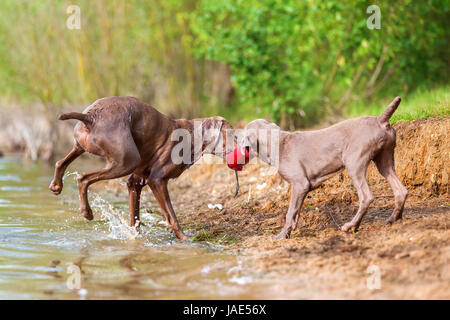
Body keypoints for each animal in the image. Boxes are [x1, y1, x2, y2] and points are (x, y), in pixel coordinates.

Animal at [49, 96, 236, 241]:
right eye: (233, 134)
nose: (243, 149)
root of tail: (90, 117)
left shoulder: (136, 181)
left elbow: (135, 217)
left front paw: (134, 235)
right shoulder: (157, 179)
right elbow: (171, 214)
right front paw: (184, 237)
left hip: (81, 145)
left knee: (60, 163)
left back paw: (56, 185)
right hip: (126, 162)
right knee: (83, 178)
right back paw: (87, 212)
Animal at [243, 96, 408, 239]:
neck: (279, 143)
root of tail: (379, 119)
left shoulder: (299, 183)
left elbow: (290, 212)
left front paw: (281, 235)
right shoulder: (302, 188)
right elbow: (296, 211)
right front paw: (291, 229)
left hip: (354, 163)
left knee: (366, 197)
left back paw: (351, 226)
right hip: (385, 160)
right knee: (401, 191)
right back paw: (394, 219)